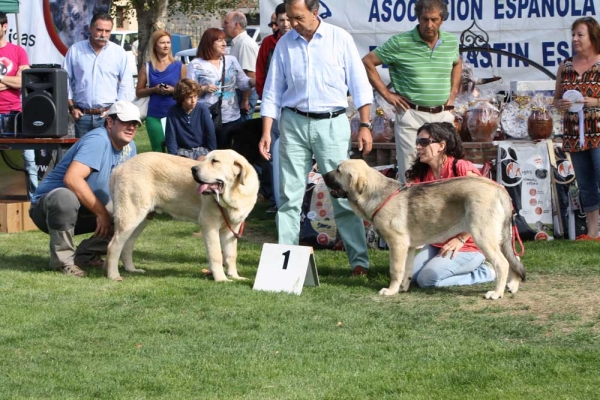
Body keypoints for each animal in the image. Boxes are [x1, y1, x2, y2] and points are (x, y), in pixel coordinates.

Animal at [103, 150, 258, 282]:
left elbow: (231, 255)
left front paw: (235, 276)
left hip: (141, 220)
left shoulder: (232, 229)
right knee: (113, 245)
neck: (234, 193)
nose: (193, 169)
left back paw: (132, 270)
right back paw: (113, 275)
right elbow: (216, 255)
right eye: (206, 159)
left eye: (215, 161)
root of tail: (119, 168)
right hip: (131, 216)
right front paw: (221, 279)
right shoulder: (209, 225)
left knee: (128, 244)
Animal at [324, 159, 524, 300]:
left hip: (483, 236)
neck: (377, 193)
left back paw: (496, 293)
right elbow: (407, 270)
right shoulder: (409, 247)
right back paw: (513, 286)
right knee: (514, 259)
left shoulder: (397, 244)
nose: (323, 174)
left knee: (502, 263)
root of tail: (499, 188)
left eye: (338, 170)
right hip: (500, 237)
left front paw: (390, 290)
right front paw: (402, 288)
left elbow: (395, 270)